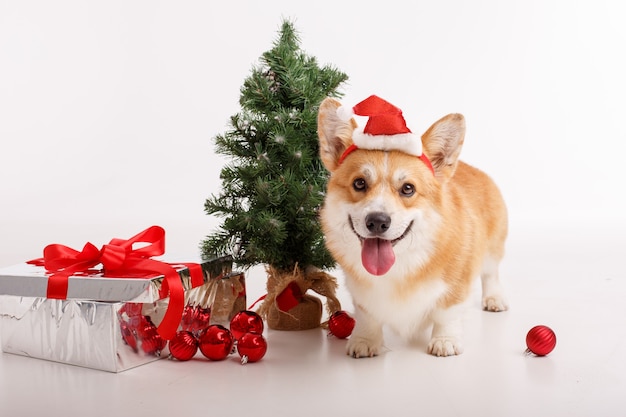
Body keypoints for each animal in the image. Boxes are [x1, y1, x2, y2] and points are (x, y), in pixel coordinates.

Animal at [316, 96, 508, 356]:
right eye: (359, 183)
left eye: (408, 188)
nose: (377, 221)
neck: (400, 264)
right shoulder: (362, 293)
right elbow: (368, 316)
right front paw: (365, 341)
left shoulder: (457, 283)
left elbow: (447, 312)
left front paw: (445, 340)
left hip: (492, 249)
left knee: (491, 274)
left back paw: (494, 299)